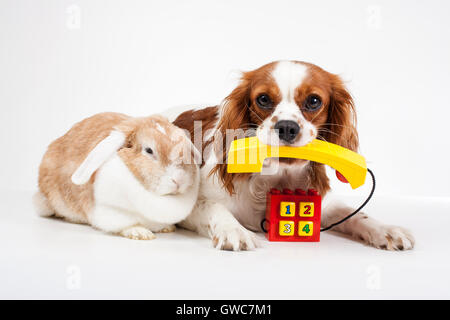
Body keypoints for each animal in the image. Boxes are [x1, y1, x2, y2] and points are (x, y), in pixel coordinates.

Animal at [32, 111, 200, 239]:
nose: (179, 179)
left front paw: (168, 228)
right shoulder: (108, 211)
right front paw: (141, 233)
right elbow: (127, 225)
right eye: (149, 150)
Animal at [173, 59, 414, 250]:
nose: (287, 127)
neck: (278, 177)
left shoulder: (326, 203)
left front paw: (386, 229)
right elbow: (214, 207)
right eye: (263, 99)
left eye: (314, 101)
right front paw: (234, 230)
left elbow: (354, 213)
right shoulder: (191, 205)